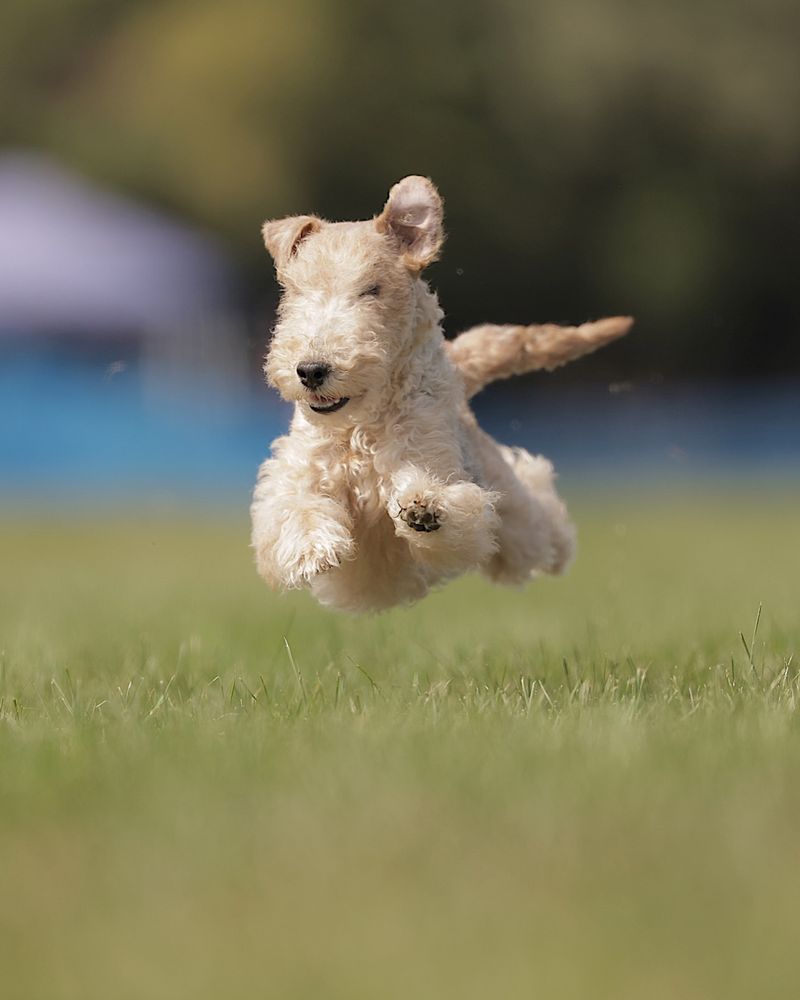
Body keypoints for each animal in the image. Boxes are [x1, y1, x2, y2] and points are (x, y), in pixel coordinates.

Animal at [252, 175, 632, 608]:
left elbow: (439, 499)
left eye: (372, 290)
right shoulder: (297, 476)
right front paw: (314, 549)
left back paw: (559, 545)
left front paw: (427, 509)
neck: (359, 429)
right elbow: (295, 507)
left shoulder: (431, 464)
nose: (312, 370)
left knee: (540, 511)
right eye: (294, 292)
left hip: (514, 513)